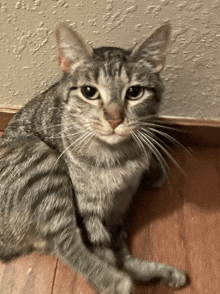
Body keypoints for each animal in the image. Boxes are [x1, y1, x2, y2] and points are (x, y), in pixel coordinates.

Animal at [0, 21, 186, 292]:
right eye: (89, 92)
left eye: (135, 92)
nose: (114, 119)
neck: (118, 157)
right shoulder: (87, 205)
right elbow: (101, 249)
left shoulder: (120, 203)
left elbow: (116, 247)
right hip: (40, 163)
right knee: (65, 241)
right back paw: (114, 281)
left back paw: (164, 273)